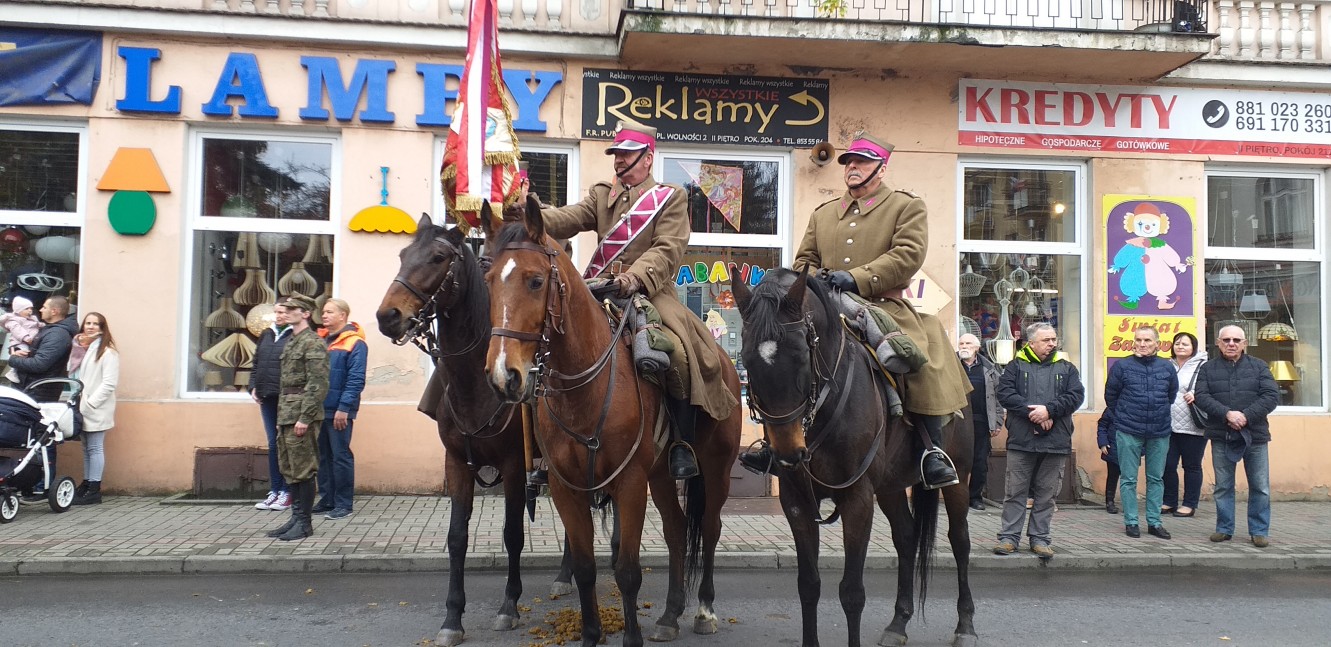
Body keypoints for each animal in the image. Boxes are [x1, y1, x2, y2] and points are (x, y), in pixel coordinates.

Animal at [378, 216, 580, 647]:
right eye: (402, 254)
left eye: (438, 258)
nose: (387, 315)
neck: (475, 381)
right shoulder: (457, 463)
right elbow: (457, 537)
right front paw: (452, 617)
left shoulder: (514, 466)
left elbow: (513, 534)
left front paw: (508, 606)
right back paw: (564, 576)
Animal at [481, 197, 750, 647]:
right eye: (487, 280)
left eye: (535, 281)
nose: (504, 376)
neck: (584, 388)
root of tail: (727, 365)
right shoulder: (566, 487)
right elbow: (586, 567)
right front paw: (592, 634)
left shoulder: (629, 483)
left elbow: (626, 571)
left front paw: (632, 636)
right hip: (662, 474)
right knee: (677, 529)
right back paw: (670, 614)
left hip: (715, 468)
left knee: (709, 529)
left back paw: (704, 611)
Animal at [729, 267, 979, 647]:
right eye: (748, 359)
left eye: (801, 355)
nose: (788, 453)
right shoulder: (797, 502)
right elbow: (808, 584)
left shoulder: (858, 498)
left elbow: (851, 592)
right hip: (890, 486)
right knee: (906, 536)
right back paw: (898, 622)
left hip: (959, 478)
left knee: (960, 540)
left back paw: (965, 625)